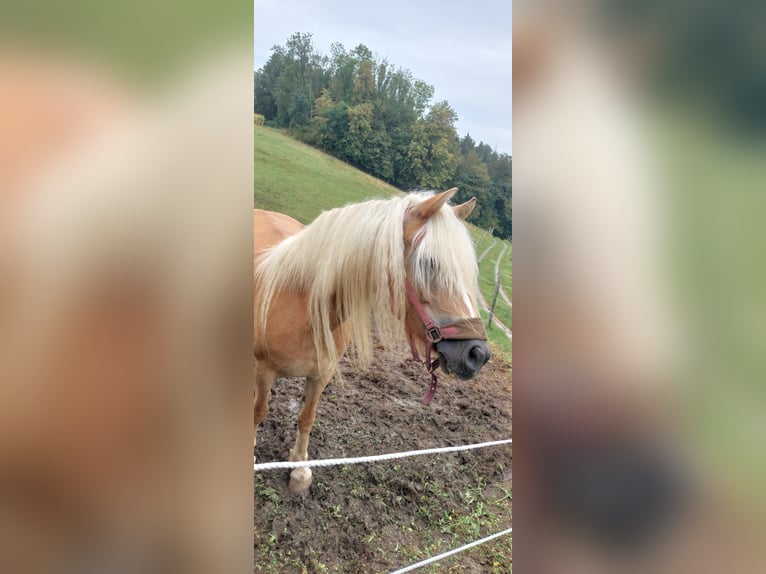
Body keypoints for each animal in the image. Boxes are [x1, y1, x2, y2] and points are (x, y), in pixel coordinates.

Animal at [254, 190, 492, 496]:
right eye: (428, 263)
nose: (477, 353)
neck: (303, 304)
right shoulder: (264, 371)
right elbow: (259, 412)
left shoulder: (322, 374)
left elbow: (307, 417)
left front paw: (299, 469)